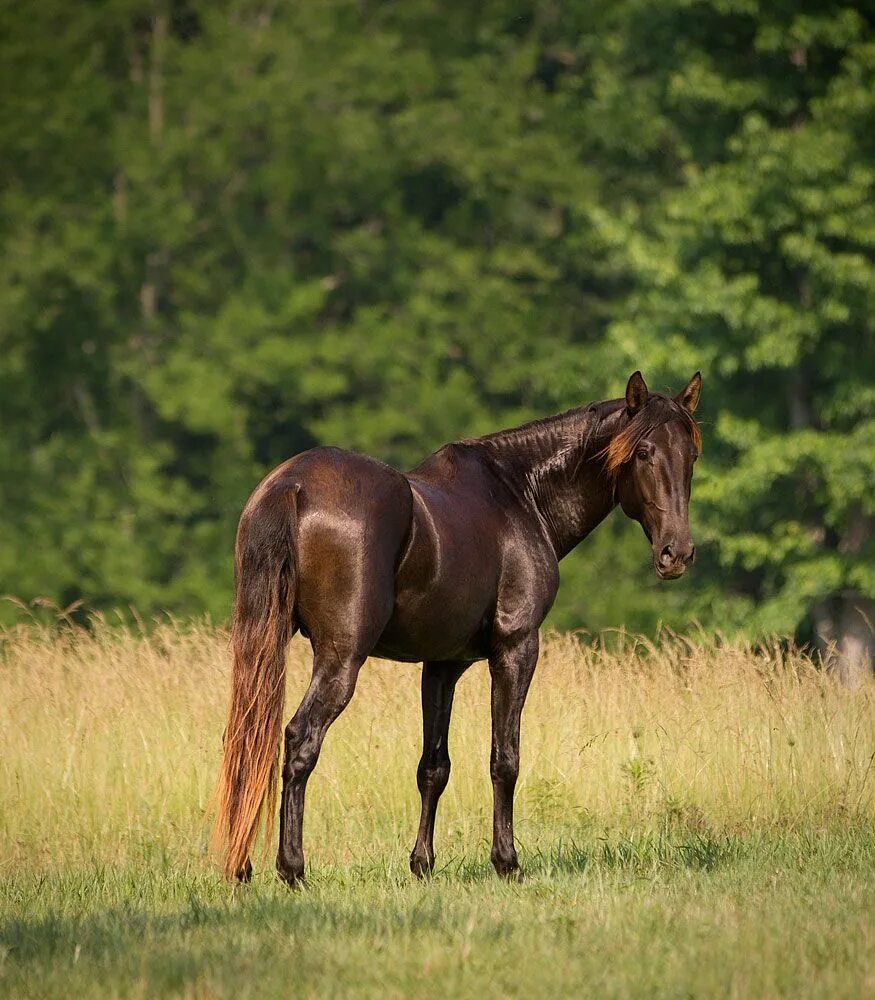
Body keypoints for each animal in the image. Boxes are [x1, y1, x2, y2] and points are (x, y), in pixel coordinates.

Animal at [216, 370, 700, 884]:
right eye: (643, 452)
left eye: (691, 455)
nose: (677, 553)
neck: (521, 494)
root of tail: (292, 486)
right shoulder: (516, 649)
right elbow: (504, 759)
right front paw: (507, 862)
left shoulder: (442, 665)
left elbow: (433, 767)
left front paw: (422, 864)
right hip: (340, 659)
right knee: (299, 739)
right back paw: (292, 868)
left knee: (248, 739)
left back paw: (240, 865)